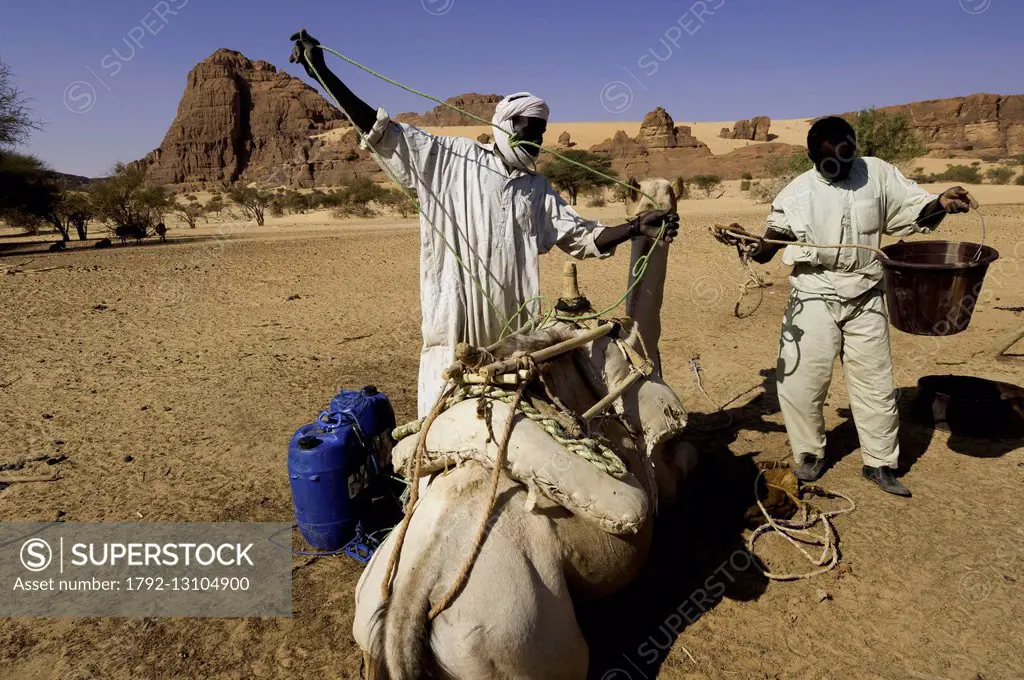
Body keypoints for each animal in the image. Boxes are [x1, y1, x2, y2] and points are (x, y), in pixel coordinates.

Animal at [352, 179, 696, 680]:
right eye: (656, 200)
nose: (663, 208)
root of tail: (410, 603)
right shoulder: (661, 468)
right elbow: (683, 464)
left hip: (372, 627)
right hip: (528, 647)